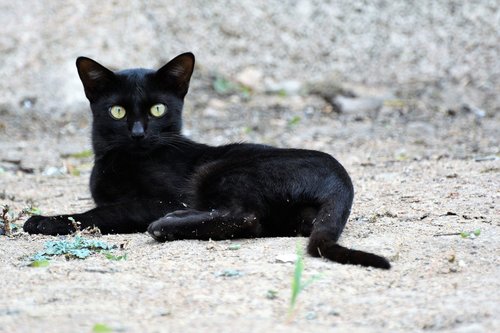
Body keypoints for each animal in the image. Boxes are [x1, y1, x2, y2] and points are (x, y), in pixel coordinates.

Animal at [23, 52, 390, 270]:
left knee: (246, 218)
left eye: (158, 109)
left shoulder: (161, 199)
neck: (123, 160)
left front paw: (44, 220)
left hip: (222, 169)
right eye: (118, 112)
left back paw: (166, 225)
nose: (139, 132)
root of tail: (341, 180)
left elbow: (102, 212)